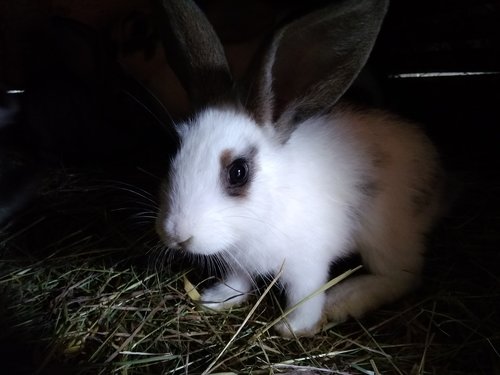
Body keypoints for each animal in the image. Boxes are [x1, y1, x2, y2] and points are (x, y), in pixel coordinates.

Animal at [154, 0, 444, 338]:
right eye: (174, 150)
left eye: (238, 172)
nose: (177, 235)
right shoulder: (239, 262)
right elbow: (237, 281)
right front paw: (214, 299)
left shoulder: (307, 265)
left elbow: (304, 297)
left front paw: (291, 327)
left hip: (384, 236)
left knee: (402, 276)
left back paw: (344, 298)